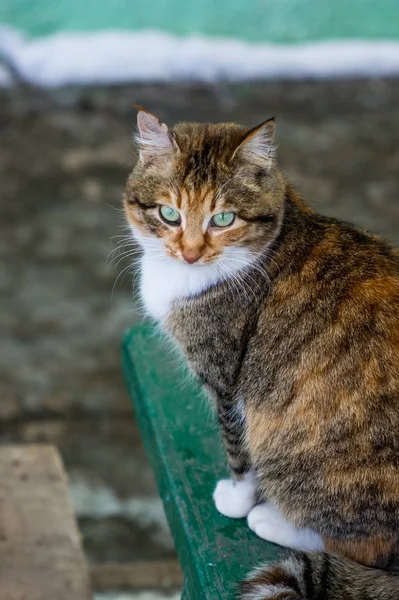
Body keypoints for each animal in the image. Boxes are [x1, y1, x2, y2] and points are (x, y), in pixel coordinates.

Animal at [123, 110, 398, 596]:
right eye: (169, 213)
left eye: (223, 218)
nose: (190, 253)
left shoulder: (227, 379)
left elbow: (238, 450)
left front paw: (236, 500)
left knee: (364, 546)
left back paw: (273, 521)